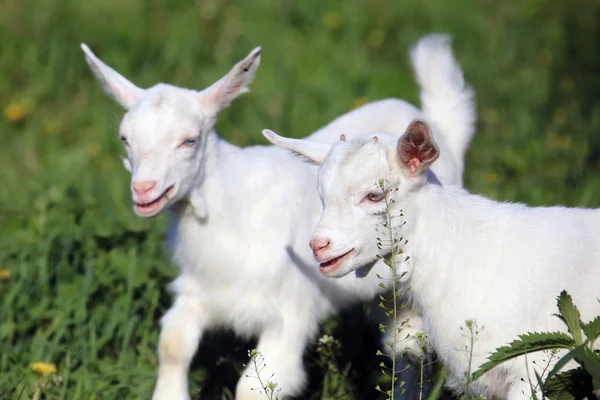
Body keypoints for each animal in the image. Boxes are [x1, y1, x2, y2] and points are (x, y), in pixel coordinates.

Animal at [79, 32, 476, 398]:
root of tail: (440, 130)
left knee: (409, 350)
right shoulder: (199, 292)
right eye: (125, 140)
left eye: (189, 140)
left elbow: (253, 387)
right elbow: (173, 346)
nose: (143, 190)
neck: (226, 210)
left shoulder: (288, 312)